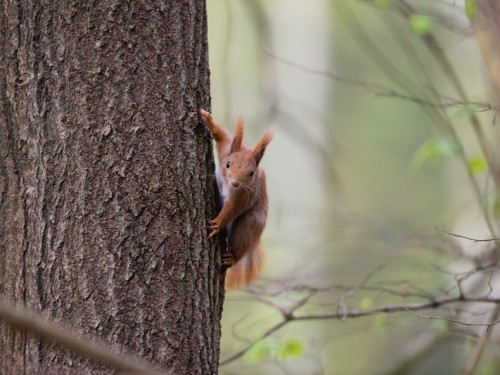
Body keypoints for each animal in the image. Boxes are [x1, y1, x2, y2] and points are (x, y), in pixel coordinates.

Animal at [200, 108, 274, 290]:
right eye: (228, 164)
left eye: (251, 173)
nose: (235, 183)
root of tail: (256, 241)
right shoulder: (225, 150)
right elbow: (222, 136)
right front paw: (208, 120)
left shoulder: (243, 196)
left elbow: (231, 210)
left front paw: (217, 223)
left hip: (249, 227)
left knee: (241, 244)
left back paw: (232, 258)